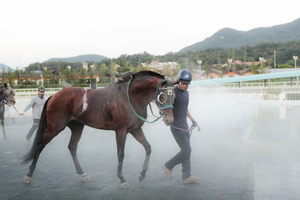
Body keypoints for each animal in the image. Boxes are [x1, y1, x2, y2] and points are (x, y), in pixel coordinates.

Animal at [22, 70, 175, 188]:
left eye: (174, 96)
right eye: (163, 96)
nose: (170, 120)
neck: (130, 97)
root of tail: (54, 96)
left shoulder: (135, 129)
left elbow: (148, 148)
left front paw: (141, 175)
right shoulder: (121, 130)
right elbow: (121, 154)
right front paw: (122, 179)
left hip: (77, 126)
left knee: (72, 147)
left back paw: (83, 174)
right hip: (54, 128)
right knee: (39, 146)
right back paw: (29, 175)